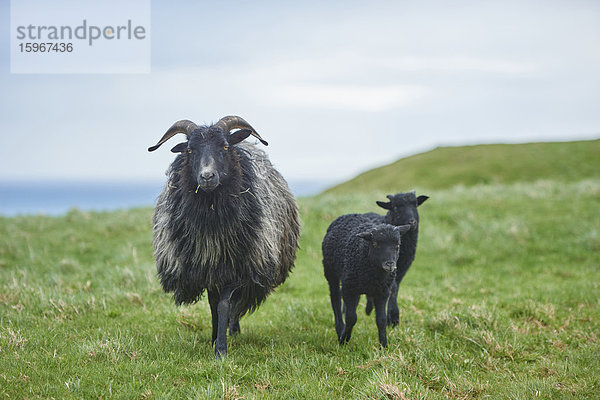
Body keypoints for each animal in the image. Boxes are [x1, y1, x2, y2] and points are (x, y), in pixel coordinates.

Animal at [148, 115, 302, 360]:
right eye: (190, 150)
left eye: (225, 147)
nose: (207, 176)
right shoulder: (208, 268)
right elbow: (213, 306)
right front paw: (213, 339)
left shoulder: (237, 267)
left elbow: (224, 304)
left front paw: (221, 349)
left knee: (236, 304)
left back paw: (233, 329)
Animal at [324, 214, 412, 348]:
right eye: (375, 244)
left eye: (398, 245)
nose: (390, 264)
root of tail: (350, 214)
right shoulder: (349, 289)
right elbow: (351, 318)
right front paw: (343, 340)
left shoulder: (383, 292)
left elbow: (381, 320)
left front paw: (383, 346)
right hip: (330, 272)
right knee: (335, 299)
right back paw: (340, 327)